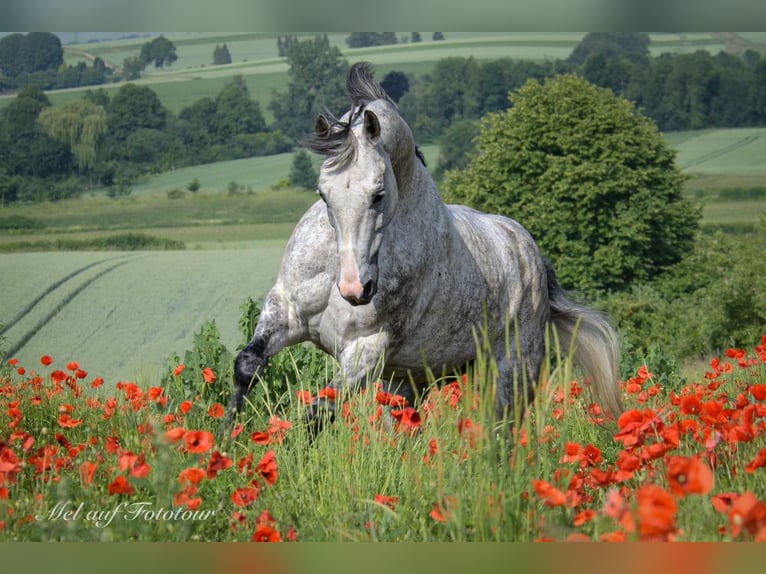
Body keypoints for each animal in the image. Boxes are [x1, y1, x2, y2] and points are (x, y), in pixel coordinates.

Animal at [231, 62, 620, 428]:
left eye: (378, 194)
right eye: (323, 193)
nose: (355, 289)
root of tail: (530, 253)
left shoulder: (366, 349)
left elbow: (318, 412)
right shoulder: (285, 311)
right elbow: (246, 365)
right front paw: (228, 440)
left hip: (510, 373)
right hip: (408, 381)